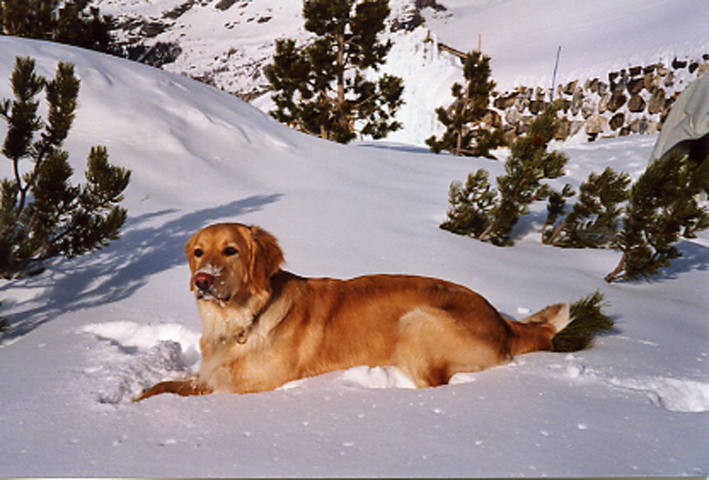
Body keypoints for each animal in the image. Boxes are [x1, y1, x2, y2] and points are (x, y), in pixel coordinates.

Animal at [137, 223, 571, 400]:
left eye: (230, 250)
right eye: (198, 252)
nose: (202, 281)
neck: (245, 319)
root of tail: (503, 321)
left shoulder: (251, 386)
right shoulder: (207, 375)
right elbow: (163, 386)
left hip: (417, 320)